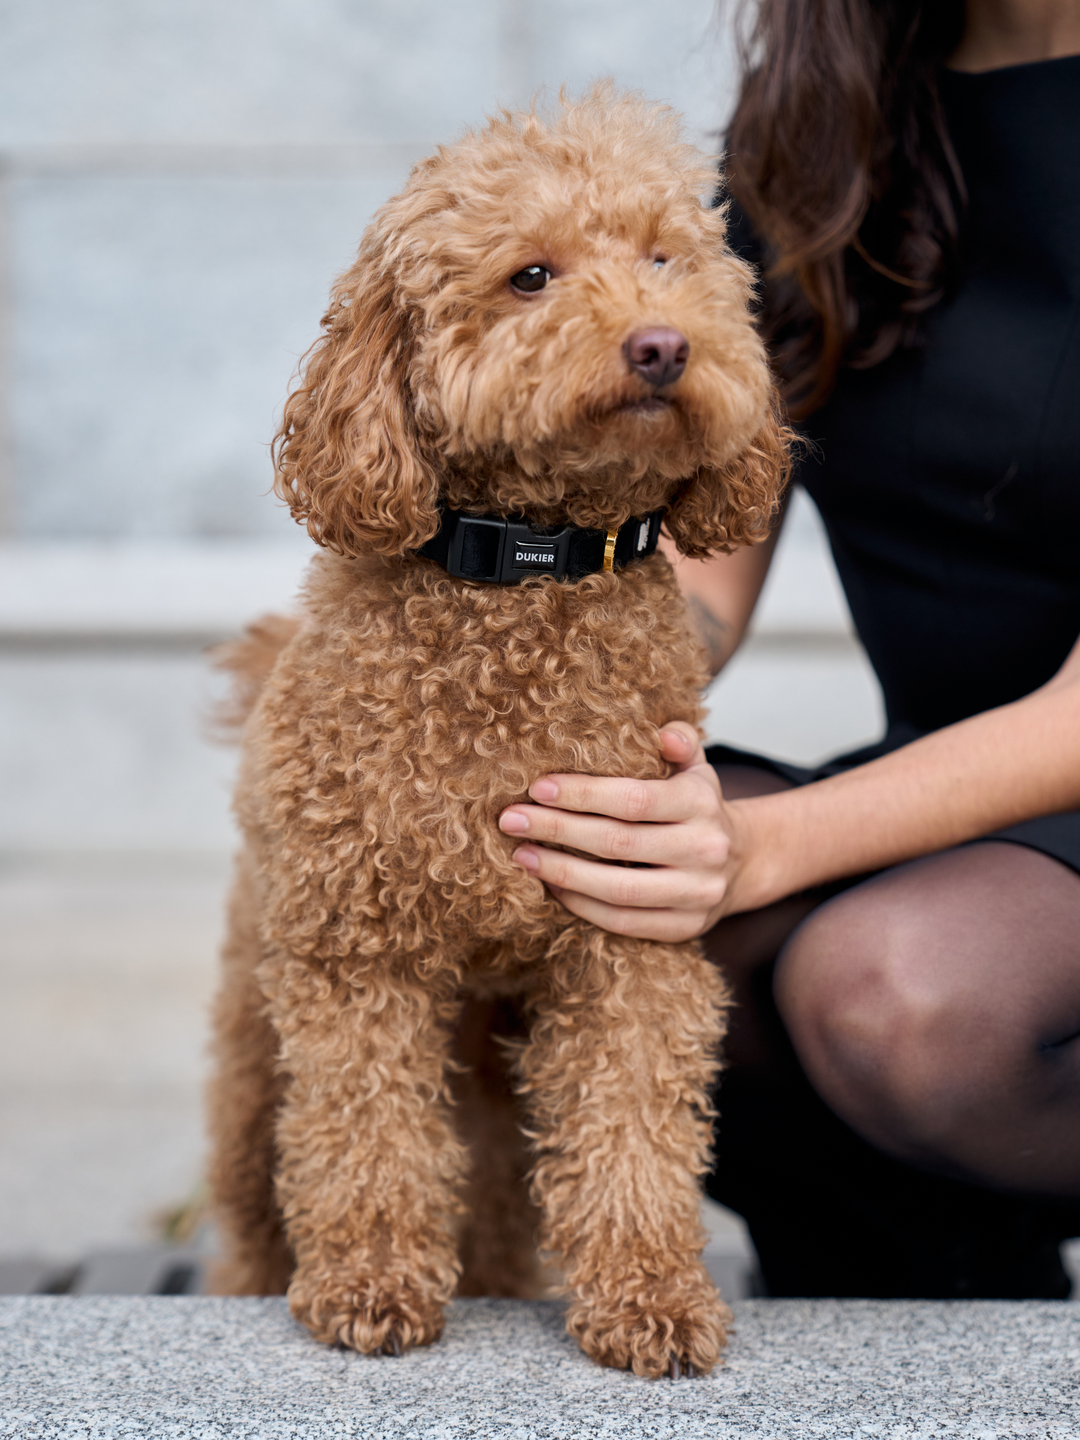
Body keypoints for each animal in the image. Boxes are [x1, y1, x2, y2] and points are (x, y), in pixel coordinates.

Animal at [207, 84, 789, 1376]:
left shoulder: (629, 937)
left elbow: (633, 1123)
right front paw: (371, 1283)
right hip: (256, 1034)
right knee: (258, 1191)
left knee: (501, 1203)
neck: (526, 576)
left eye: (666, 259)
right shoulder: (354, 951)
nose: (662, 346)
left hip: (491, 1063)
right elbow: (363, 1128)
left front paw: (649, 1296)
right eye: (531, 275)